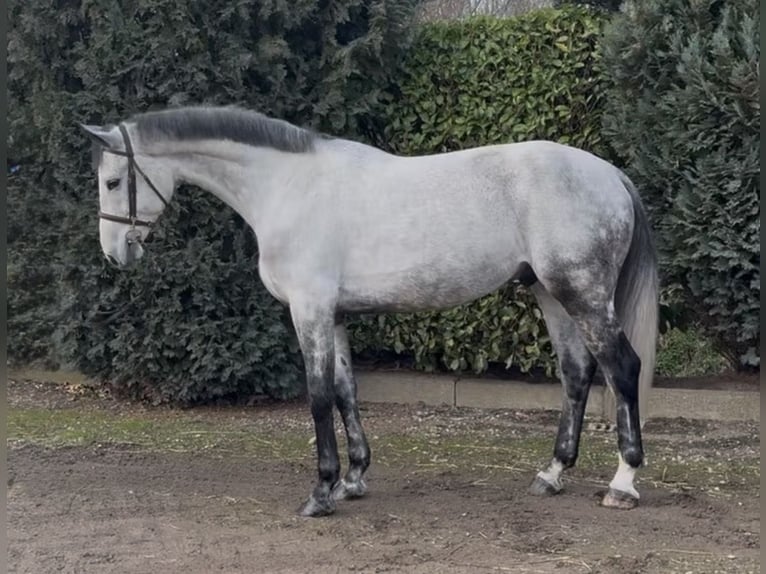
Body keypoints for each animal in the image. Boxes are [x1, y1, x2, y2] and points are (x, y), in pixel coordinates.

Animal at [80, 105, 658, 517]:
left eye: (112, 182)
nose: (113, 253)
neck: (288, 187)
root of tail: (610, 174)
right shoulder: (334, 314)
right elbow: (345, 391)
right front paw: (353, 479)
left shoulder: (310, 309)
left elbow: (317, 396)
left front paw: (320, 491)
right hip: (551, 294)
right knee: (577, 373)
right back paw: (552, 474)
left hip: (582, 294)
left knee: (622, 367)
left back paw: (623, 483)